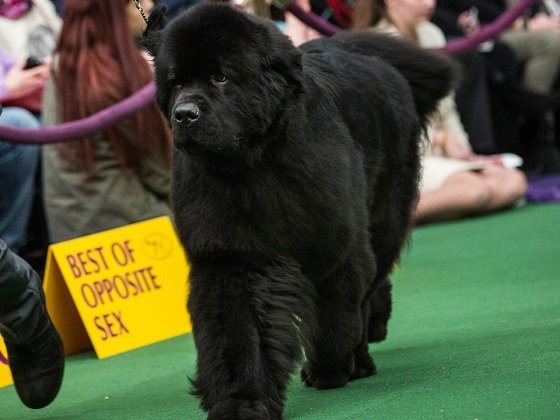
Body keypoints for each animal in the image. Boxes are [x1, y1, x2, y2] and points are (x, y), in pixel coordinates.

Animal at [143, 4, 456, 420]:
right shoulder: (230, 257)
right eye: (176, 83)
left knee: (371, 283)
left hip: (384, 218)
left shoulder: (335, 245)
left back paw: (361, 356)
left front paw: (328, 368)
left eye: (221, 76)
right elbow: (238, 333)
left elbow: (335, 318)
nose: (185, 114)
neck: (253, 166)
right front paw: (243, 400)